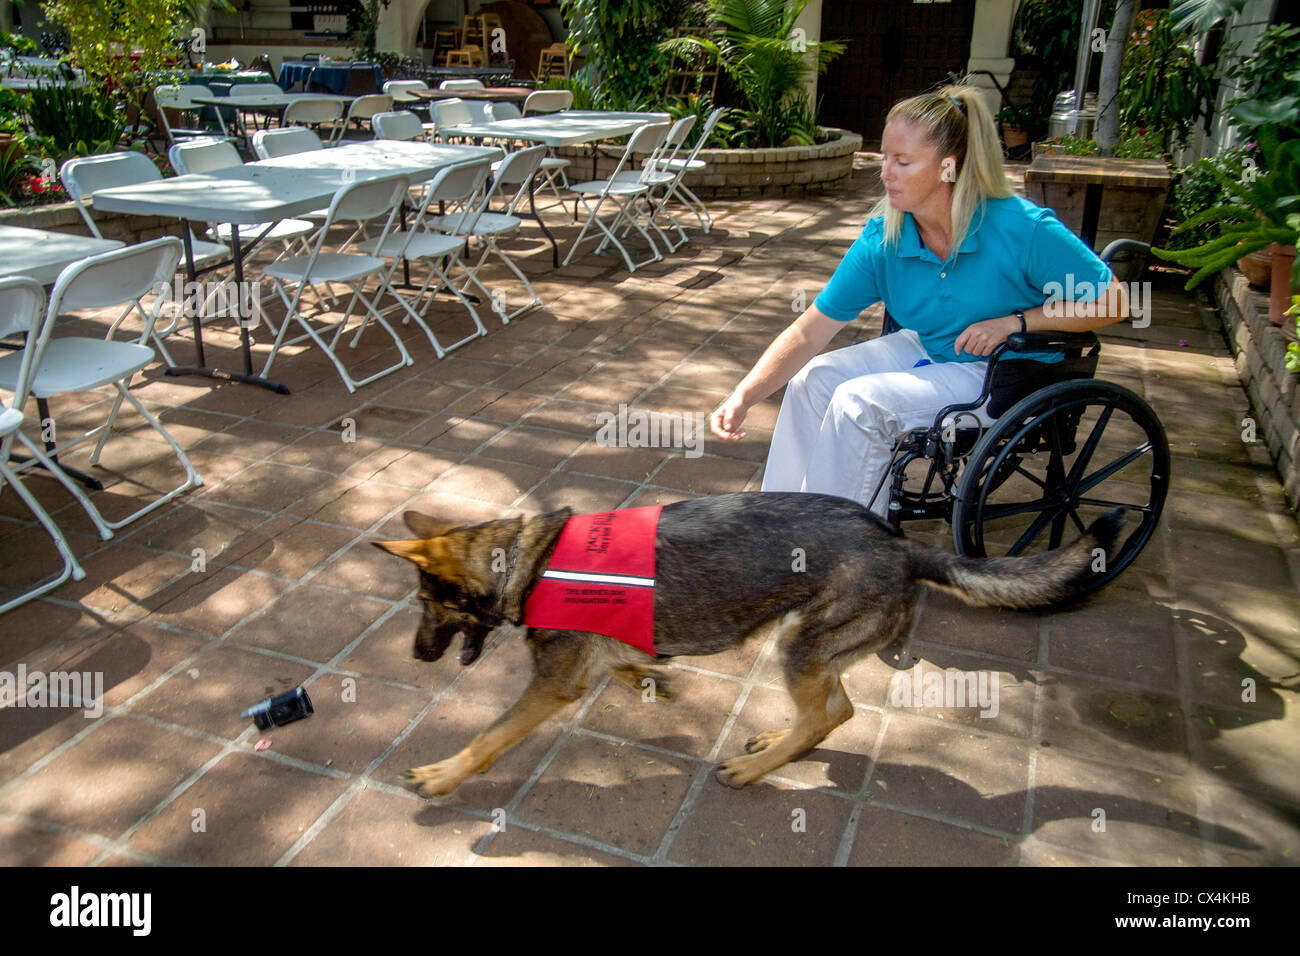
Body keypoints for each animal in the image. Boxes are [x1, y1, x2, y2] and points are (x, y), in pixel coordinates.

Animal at [374, 494, 1118, 801]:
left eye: (427, 607)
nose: (414, 658)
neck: (526, 561)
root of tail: (902, 544)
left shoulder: (551, 686)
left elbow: (489, 738)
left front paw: (442, 776)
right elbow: (623, 665)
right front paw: (650, 678)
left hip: (801, 647)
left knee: (830, 714)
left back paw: (756, 769)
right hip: (812, 648)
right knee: (836, 709)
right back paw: (774, 745)